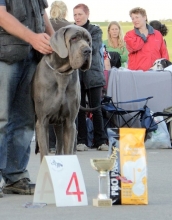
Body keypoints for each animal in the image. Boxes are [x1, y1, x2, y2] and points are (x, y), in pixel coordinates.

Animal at [31, 24, 91, 161]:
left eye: (88, 40)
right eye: (74, 38)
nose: (88, 50)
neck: (61, 73)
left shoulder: (69, 122)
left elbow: (68, 150)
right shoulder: (42, 122)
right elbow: (44, 152)